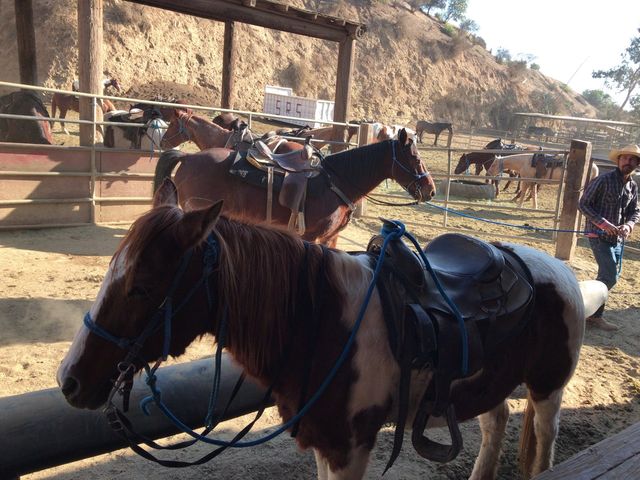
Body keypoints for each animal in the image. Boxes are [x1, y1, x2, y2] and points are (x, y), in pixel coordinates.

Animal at [56, 177, 604, 480]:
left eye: (143, 287)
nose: (70, 380)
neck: (321, 321)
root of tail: (555, 271)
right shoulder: (324, 440)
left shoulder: (349, 448)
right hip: (487, 384)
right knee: (496, 422)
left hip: (549, 387)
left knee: (545, 436)